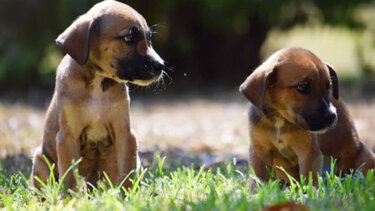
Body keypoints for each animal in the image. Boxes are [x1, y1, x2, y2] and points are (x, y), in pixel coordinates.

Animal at [33, 0, 165, 190]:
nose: (161, 65)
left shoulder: (125, 133)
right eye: (129, 38)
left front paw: (128, 194)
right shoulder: (68, 137)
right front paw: (71, 197)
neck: (98, 83)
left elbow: (128, 171)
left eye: (149, 38)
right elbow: (70, 177)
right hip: (40, 160)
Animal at [241, 47, 375, 188]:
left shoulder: (309, 152)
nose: (332, 116)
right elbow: (258, 177)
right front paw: (255, 191)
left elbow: (308, 176)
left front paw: (310, 192)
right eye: (302, 87)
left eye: (329, 87)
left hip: (365, 156)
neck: (280, 120)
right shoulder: (259, 150)